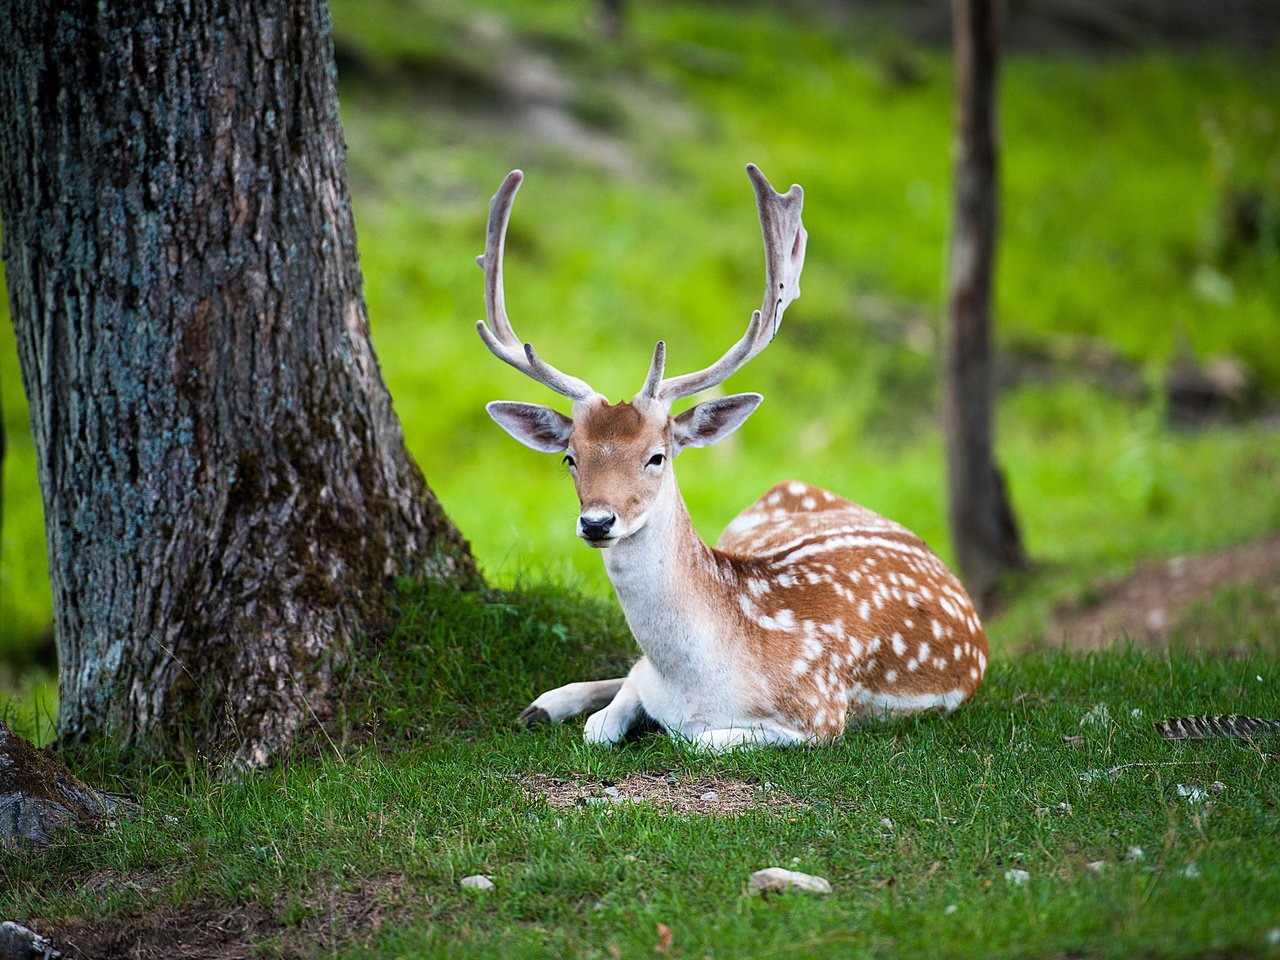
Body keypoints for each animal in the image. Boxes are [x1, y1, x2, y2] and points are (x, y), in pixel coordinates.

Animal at [476, 163, 983, 752]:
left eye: (657, 456)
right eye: (571, 458)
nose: (598, 522)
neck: (696, 681)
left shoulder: (820, 714)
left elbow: (693, 739)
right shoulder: (648, 678)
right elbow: (604, 721)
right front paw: (567, 707)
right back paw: (543, 704)